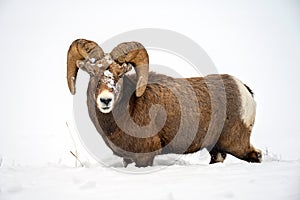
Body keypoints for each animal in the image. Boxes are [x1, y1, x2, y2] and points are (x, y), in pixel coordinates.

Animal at [67, 39, 262, 167]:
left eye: (120, 73)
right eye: (92, 72)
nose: (105, 100)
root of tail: (244, 90)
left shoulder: (145, 157)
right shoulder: (127, 158)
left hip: (236, 144)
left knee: (256, 156)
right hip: (216, 148)